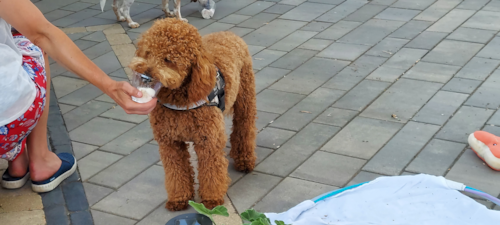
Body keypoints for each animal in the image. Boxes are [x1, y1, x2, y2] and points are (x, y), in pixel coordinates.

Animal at [128, 18, 258, 211]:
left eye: (168, 59)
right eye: (148, 52)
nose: (145, 75)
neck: (180, 100)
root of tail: (229, 34)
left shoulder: (208, 142)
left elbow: (211, 172)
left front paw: (211, 199)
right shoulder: (170, 142)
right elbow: (176, 173)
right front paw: (178, 199)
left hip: (245, 97)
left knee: (244, 128)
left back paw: (244, 159)